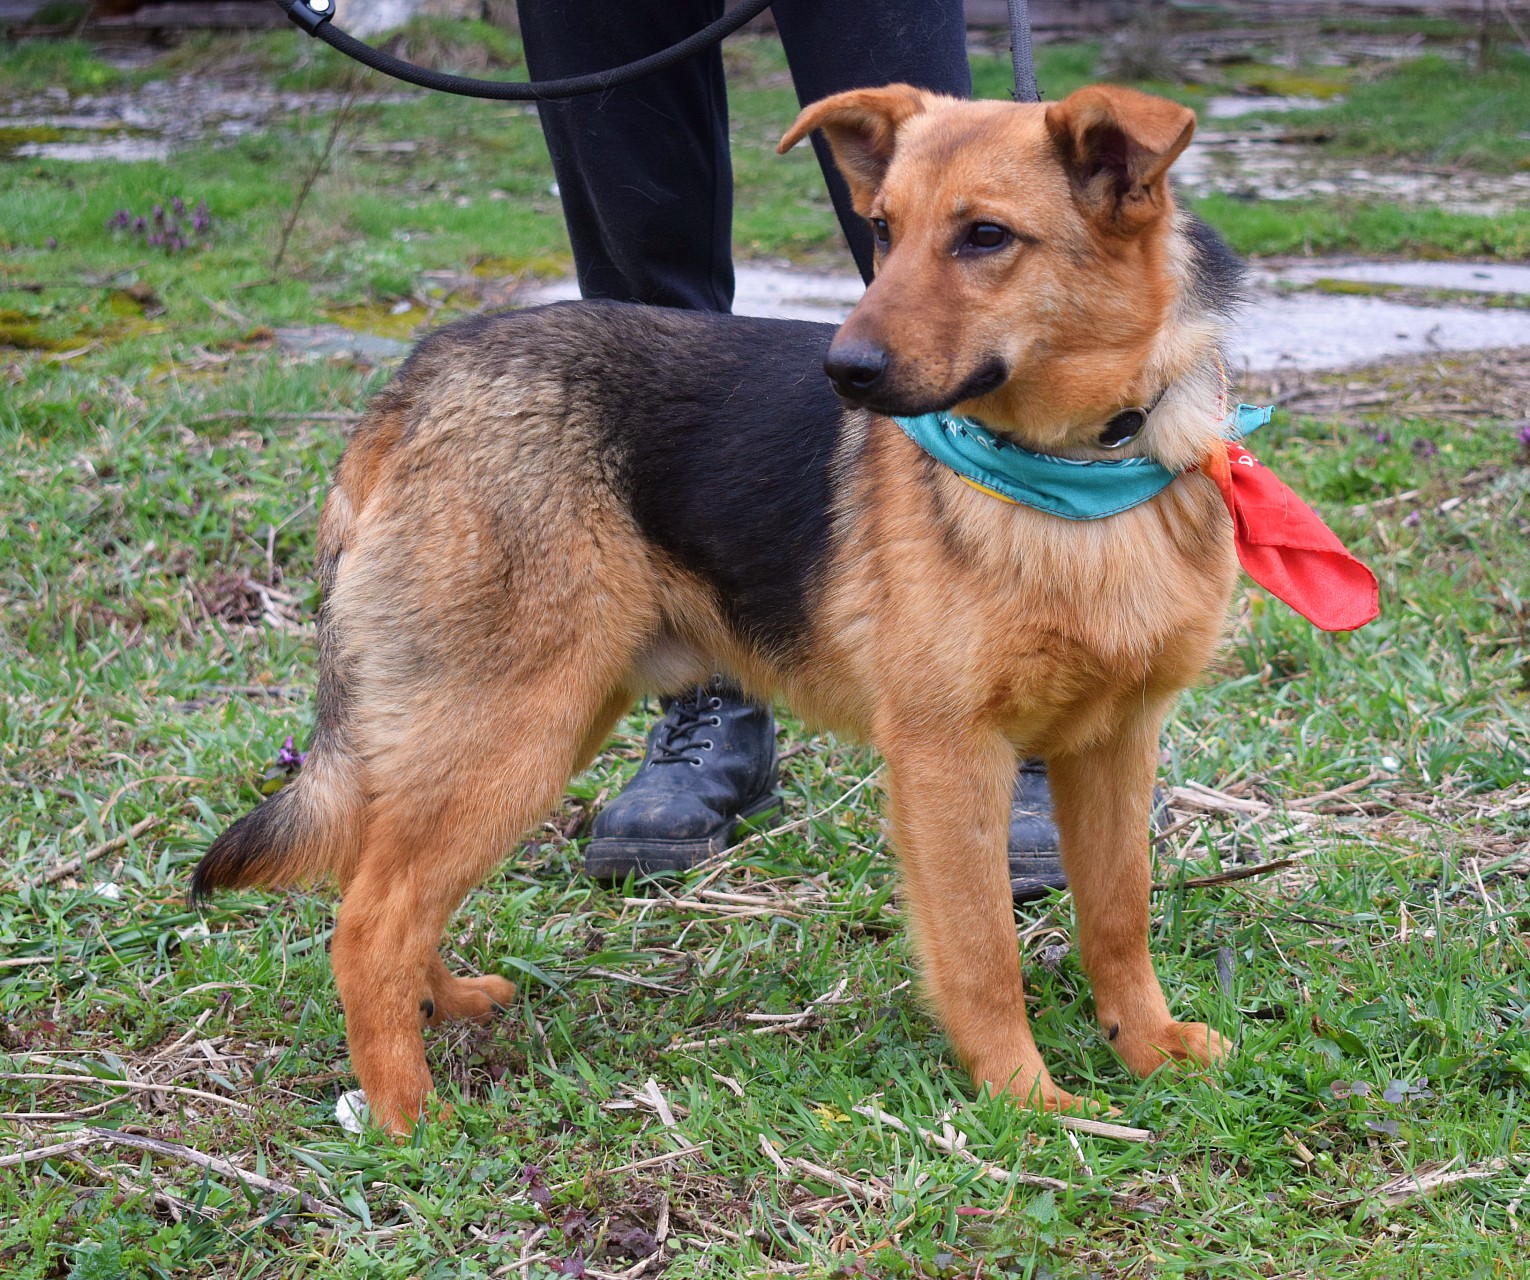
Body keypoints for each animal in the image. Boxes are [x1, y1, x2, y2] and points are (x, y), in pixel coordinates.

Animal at [194, 83, 1245, 1134]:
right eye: (883, 230)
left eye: (986, 236)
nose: (844, 373)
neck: (1076, 477)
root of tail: (413, 385)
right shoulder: (949, 761)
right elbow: (984, 954)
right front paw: (1023, 1099)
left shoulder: (1114, 744)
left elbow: (1119, 912)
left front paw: (1146, 1045)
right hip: (511, 731)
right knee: (369, 919)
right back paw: (410, 1120)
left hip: (534, 723)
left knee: (382, 887)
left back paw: (439, 1005)